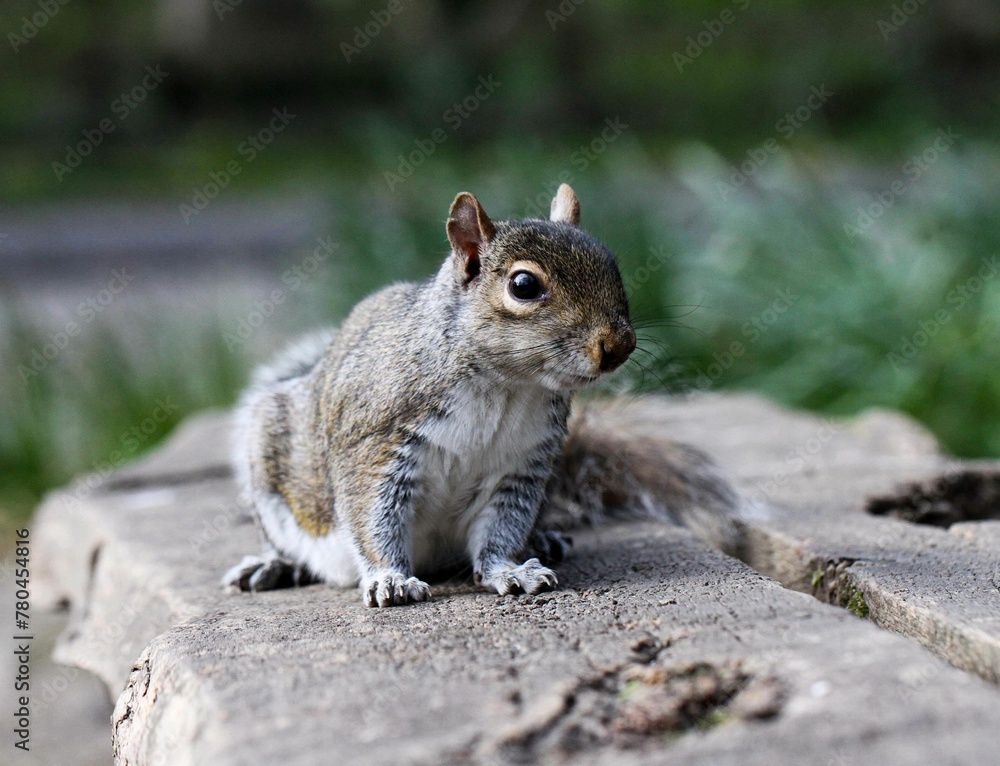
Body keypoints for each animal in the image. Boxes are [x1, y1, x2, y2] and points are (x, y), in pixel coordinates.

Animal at [223, 184, 742, 607]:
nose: (619, 346)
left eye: (612, 266)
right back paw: (272, 565)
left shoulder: (523, 466)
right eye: (523, 285)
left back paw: (544, 539)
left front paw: (509, 570)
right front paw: (391, 579)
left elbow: (501, 529)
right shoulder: (377, 446)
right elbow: (374, 518)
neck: (506, 385)